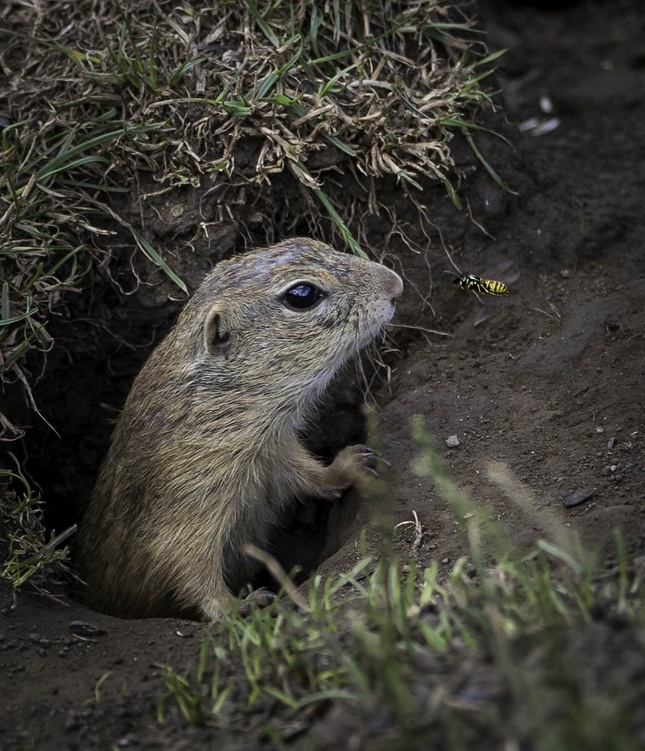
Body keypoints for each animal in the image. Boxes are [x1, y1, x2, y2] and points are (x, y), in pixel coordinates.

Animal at [78, 238, 402, 620]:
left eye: (310, 242)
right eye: (302, 294)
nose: (395, 284)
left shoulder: (274, 450)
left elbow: (308, 474)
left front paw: (355, 461)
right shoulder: (191, 496)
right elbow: (189, 565)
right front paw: (239, 605)